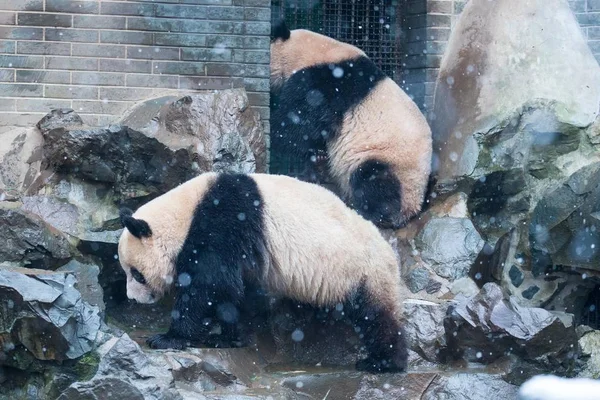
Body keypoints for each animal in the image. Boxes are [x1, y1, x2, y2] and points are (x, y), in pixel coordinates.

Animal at [116, 172, 412, 372]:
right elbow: (233, 292)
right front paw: (228, 337)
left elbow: (208, 286)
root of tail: (391, 255)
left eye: (137, 273)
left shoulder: (222, 224)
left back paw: (383, 362)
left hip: (364, 272)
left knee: (376, 315)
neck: (187, 213)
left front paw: (168, 337)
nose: (132, 298)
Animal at [270, 20, 432, 230]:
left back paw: (373, 213)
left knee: (372, 180)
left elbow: (297, 122)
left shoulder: (326, 82)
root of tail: (413, 208)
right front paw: (314, 162)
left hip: (393, 162)